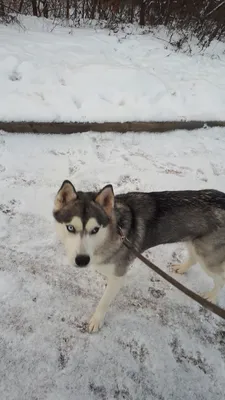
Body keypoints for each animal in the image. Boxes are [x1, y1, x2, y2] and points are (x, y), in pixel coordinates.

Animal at [53, 181, 225, 332]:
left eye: (95, 230)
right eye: (70, 228)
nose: (82, 260)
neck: (112, 234)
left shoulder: (118, 276)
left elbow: (104, 302)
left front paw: (96, 320)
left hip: (208, 257)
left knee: (220, 277)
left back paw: (210, 297)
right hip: (195, 244)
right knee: (194, 258)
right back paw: (181, 268)